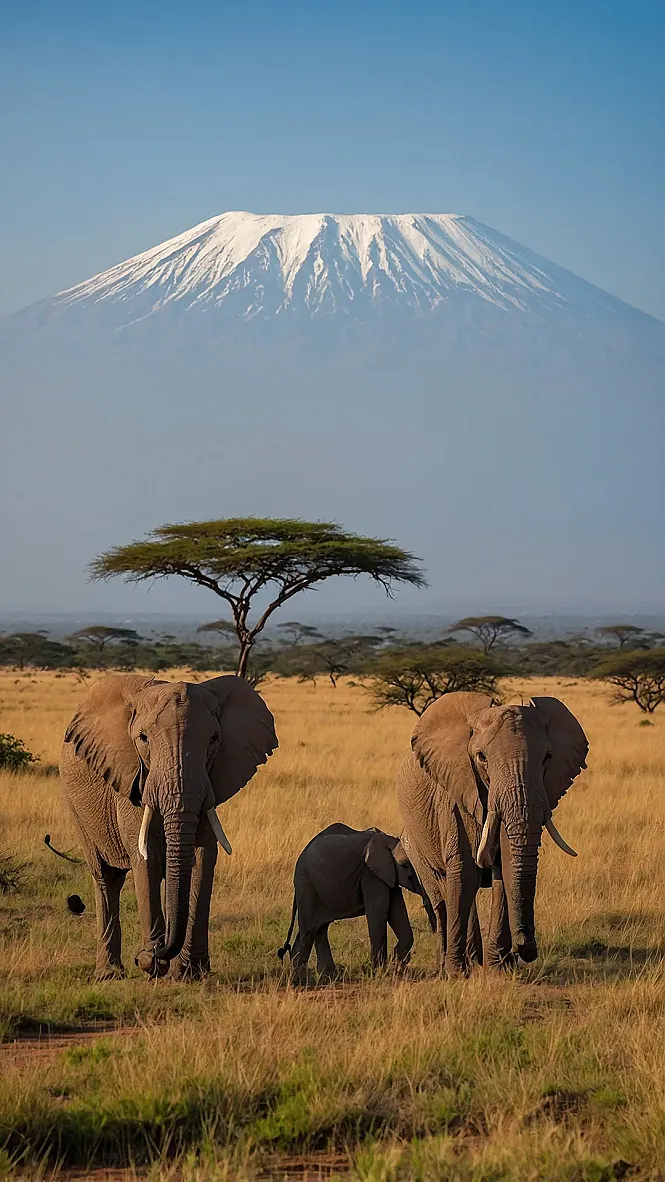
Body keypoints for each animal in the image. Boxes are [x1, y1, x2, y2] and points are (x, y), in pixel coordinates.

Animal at [59, 673, 277, 981]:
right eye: (143, 738)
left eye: (214, 739)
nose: (146, 954)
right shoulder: (134, 781)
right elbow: (146, 856)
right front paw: (153, 965)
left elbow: (202, 857)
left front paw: (188, 973)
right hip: (76, 807)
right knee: (105, 877)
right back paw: (109, 974)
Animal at [277, 823, 437, 981]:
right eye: (406, 868)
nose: (434, 928)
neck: (391, 841)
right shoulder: (370, 875)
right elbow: (378, 916)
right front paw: (379, 974)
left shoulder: (389, 878)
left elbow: (398, 915)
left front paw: (395, 966)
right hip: (306, 885)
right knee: (309, 930)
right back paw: (301, 980)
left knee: (319, 929)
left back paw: (327, 978)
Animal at [397, 693, 588, 976]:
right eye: (481, 757)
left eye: (547, 757)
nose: (525, 948)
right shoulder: (456, 796)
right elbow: (463, 870)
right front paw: (457, 973)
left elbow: (504, 870)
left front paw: (499, 969)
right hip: (415, 845)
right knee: (442, 896)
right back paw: (446, 965)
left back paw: (476, 959)